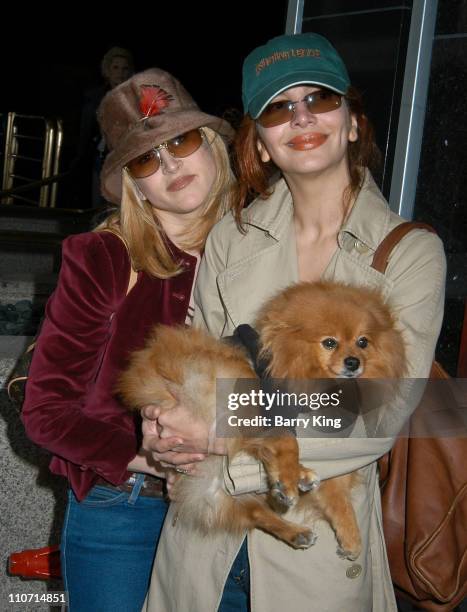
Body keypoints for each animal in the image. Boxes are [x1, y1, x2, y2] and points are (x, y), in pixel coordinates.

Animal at [116, 282, 406, 560]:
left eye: (363, 342)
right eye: (330, 343)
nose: (353, 362)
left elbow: (337, 494)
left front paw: (350, 535)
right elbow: (287, 442)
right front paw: (289, 479)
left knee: (256, 509)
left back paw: (295, 521)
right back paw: (292, 480)